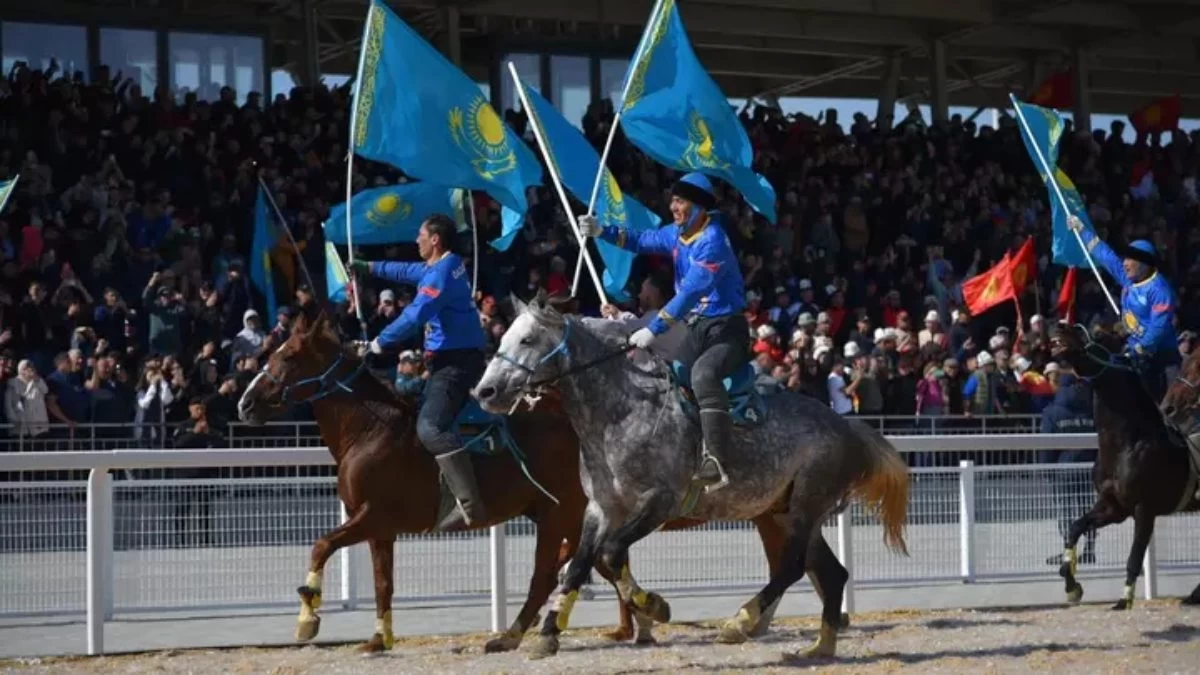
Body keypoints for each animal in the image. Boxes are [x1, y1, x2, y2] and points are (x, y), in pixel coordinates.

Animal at [237, 312, 792, 653]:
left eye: (287, 356)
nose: (245, 401)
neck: (373, 428)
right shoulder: (379, 528)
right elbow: (381, 582)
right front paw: (379, 637)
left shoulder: (373, 516)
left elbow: (320, 545)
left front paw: (308, 619)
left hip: (558, 514)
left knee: (550, 573)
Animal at [472, 293, 902, 658]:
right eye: (503, 336)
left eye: (527, 339)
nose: (485, 391)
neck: (624, 410)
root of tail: (847, 426)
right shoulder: (600, 507)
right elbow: (578, 566)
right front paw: (548, 634)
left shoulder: (659, 502)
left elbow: (611, 553)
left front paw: (655, 606)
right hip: (789, 511)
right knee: (831, 574)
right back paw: (819, 648)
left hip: (805, 507)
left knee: (792, 567)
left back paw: (740, 623)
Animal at [1046, 319, 1195, 605]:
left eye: (1098, 332)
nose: (1059, 324)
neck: (1127, 444)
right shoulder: (1113, 507)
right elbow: (1075, 527)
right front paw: (1071, 585)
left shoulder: (1144, 508)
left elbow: (1134, 557)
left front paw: (1124, 600)